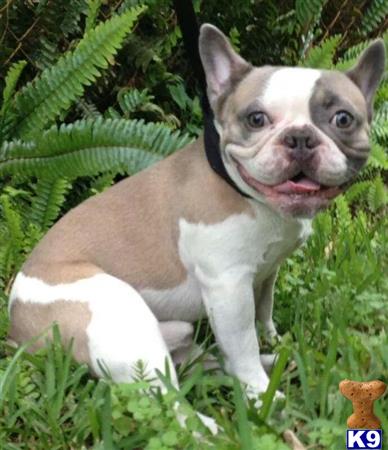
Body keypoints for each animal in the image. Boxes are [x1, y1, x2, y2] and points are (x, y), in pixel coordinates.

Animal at [7, 23, 384, 422]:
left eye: (343, 119)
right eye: (256, 119)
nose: (299, 137)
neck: (248, 194)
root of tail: (18, 329)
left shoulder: (266, 272)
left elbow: (262, 312)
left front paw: (272, 340)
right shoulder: (228, 288)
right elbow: (243, 345)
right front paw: (260, 395)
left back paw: (275, 360)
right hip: (123, 318)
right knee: (170, 402)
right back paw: (213, 422)